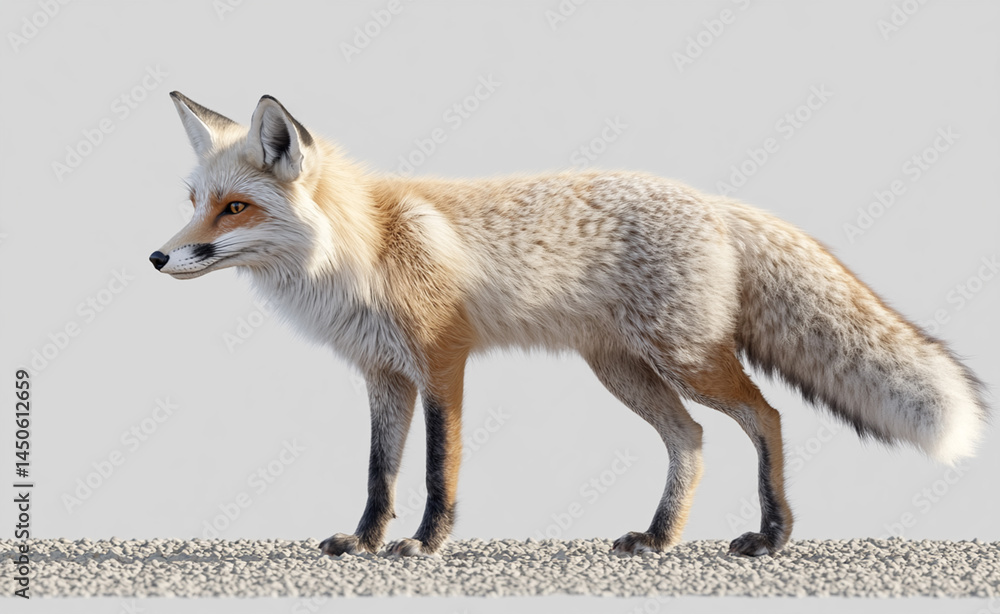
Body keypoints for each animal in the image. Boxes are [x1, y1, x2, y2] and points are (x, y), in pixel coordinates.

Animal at [151, 92, 988, 558]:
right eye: (196, 199)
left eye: (236, 208)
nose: (158, 256)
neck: (366, 248)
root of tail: (716, 201)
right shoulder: (383, 375)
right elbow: (378, 474)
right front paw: (363, 541)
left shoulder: (442, 362)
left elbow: (436, 470)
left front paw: (424, 544)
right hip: (624, 371)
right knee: (692, 438)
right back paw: (659, 538)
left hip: (686, 360)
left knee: (768, 416)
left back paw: (774, 535)